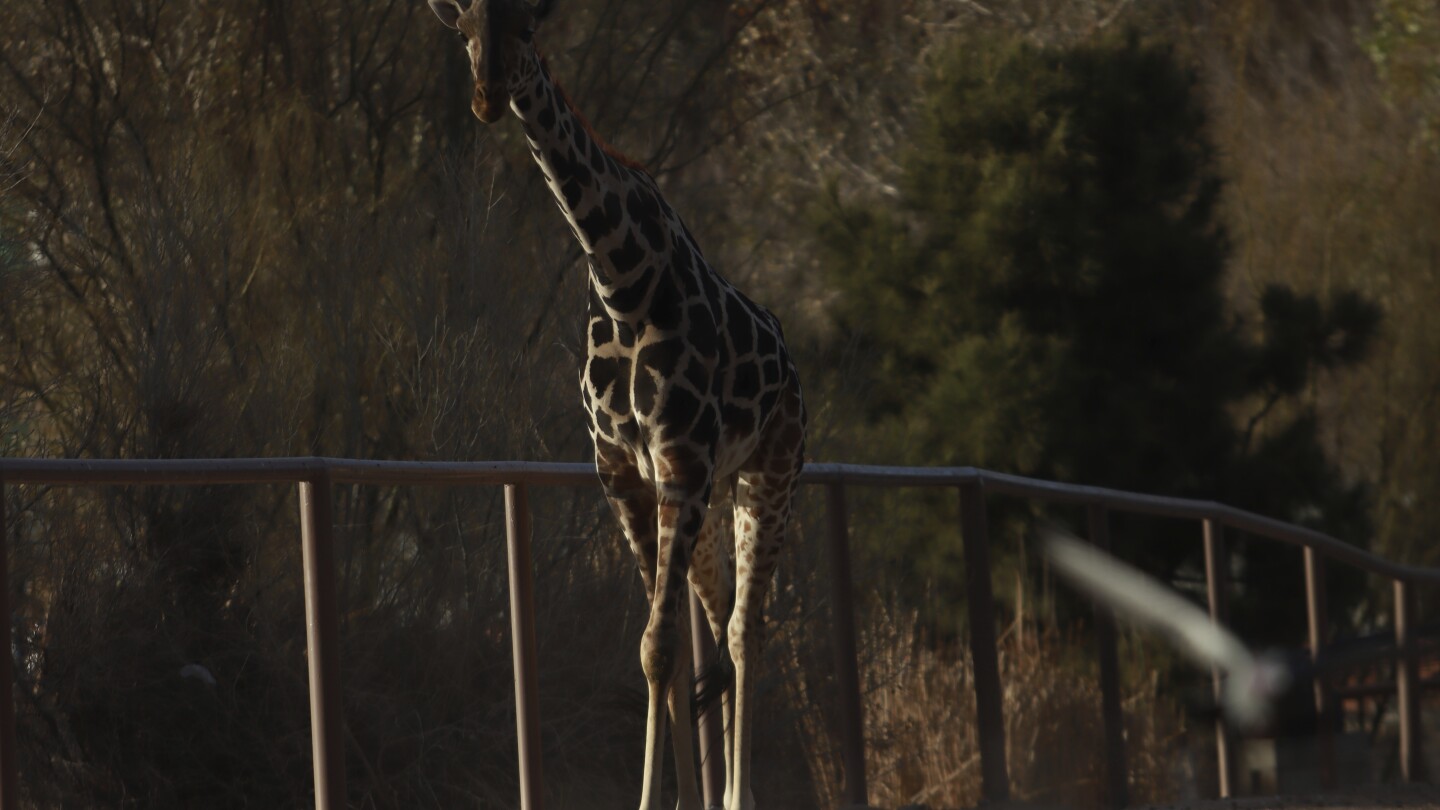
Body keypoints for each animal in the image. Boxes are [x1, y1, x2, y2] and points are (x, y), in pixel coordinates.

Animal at [426, 1, 812, 807]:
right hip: (713, 496)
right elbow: (658, 651)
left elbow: (660, 646)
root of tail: (793, 365)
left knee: (745, 630)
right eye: (464, 29)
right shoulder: (624, 471)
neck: (622, 282)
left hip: (771, 474)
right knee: (717, 619)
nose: (487, 96)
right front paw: (672, 797)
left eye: (527, 28)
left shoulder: (682, 464)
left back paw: (740, 794)